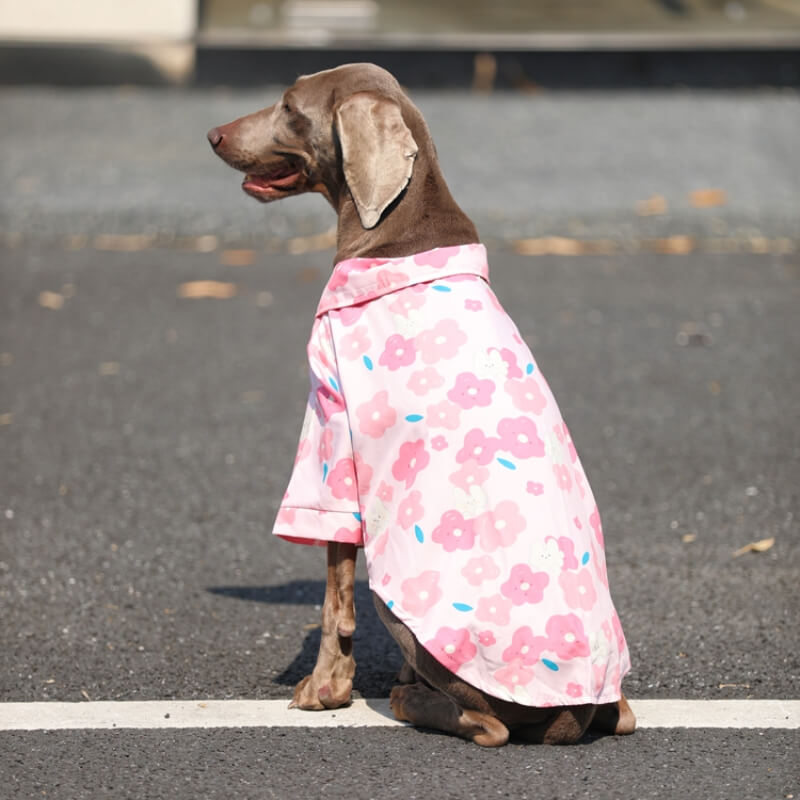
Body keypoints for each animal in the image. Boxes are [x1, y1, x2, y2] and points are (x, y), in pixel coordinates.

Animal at [209, 61, 636, 744]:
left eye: (291, 107)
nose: (213, 134)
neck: (402, 231)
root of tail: (569, 714)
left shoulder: (329, 429)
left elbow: (334, 595)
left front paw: (324, 690)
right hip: (612, 704)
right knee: (620, 715)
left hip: (406, 609)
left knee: (487, 725)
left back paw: (410, 698)